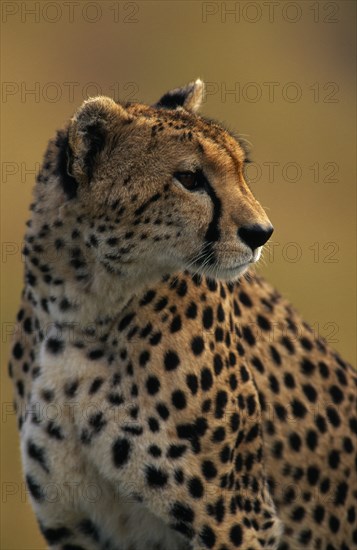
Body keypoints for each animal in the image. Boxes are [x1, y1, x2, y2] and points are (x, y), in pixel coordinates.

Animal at [9, 78, 354, 550]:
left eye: (241, 169)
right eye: (190, 179)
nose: (261, 232)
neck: (80, 311)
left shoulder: (237, 519)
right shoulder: (76, 525)